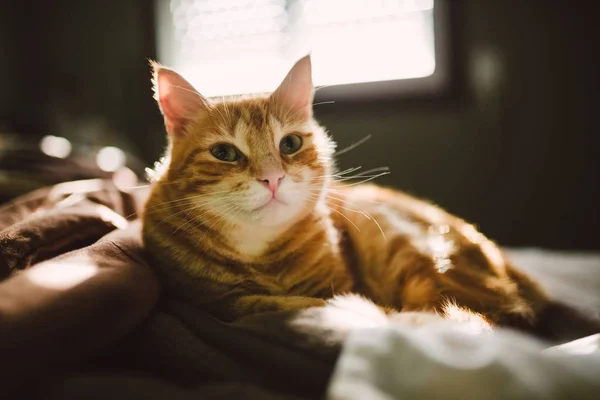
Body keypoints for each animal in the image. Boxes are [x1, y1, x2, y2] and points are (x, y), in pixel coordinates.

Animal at [144, 55, 592, 338]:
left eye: (289, 144)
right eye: (224, 153)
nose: (273, 178)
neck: (262, 256)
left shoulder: (344, 283)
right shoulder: (208, 299)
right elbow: (250, 303)